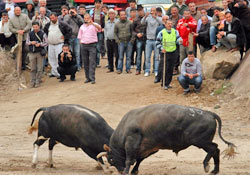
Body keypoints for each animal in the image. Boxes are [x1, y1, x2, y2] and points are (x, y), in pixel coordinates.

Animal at [98, 104, 236, 174]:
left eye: (111, 159)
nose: (120, 171)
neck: (125, 126)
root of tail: (209, 113)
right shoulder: (150, 148)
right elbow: (139, 159)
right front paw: (134, 171)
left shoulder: (132, 143)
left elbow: (129, 160)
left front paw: (127, 171)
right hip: (202, 142)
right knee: (216, 150)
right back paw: (215, 170)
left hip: (200, 142)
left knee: (213, 148)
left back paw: (206, 165)